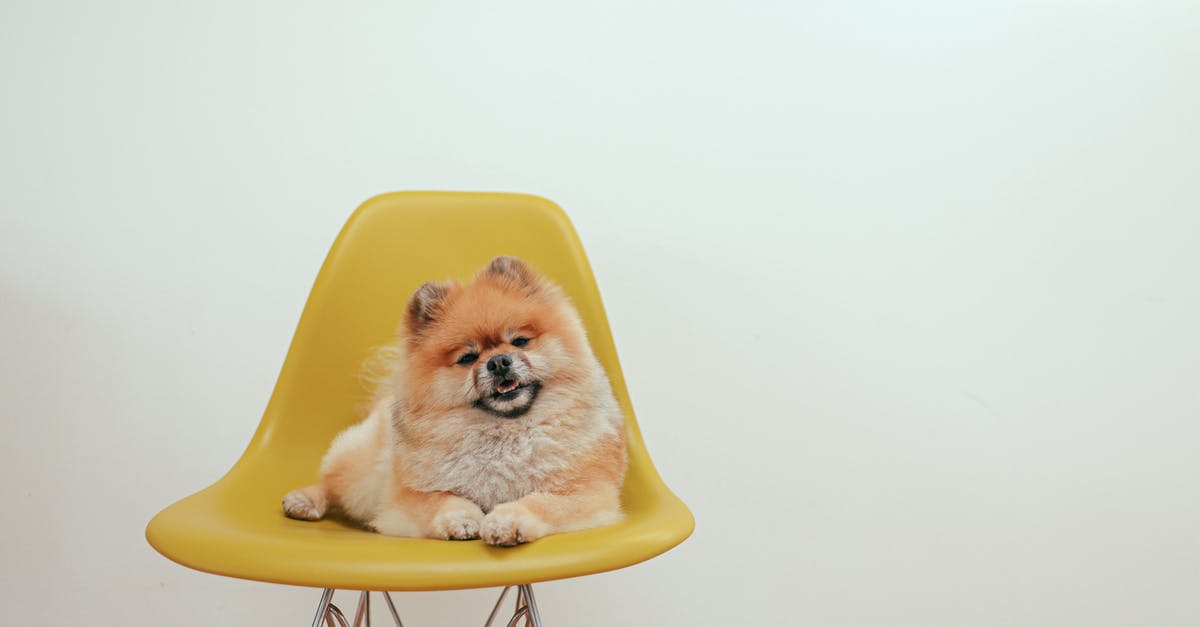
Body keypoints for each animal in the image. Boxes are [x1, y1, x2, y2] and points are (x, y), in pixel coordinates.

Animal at [279, 253, 628, 540]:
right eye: (467, 358)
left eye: (520, 341)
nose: (499, 362)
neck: (505, 433)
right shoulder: (408, 497)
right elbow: (443, 499)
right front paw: (460, 519)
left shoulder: (586, 491)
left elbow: (540, 503)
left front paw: (506, 521)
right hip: (364, 473)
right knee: (333, 481)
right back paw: (304, 500)